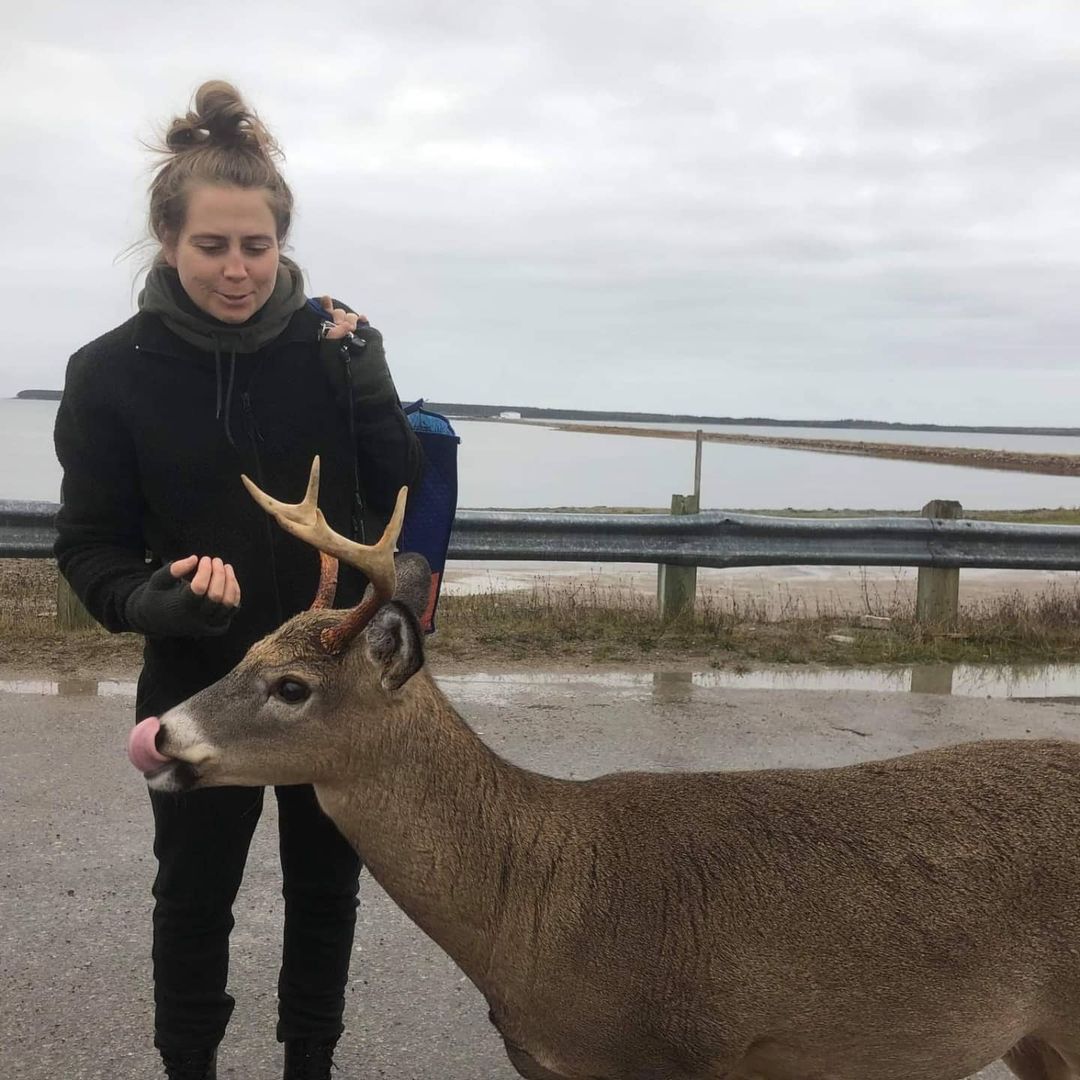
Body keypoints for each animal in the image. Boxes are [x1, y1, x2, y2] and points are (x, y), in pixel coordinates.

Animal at [128, 460, 1080, 1080]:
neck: (538, 910)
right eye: (243, 648)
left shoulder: (692, 1051)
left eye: (292, 687)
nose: (159, 736)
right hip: (1034, 1037)